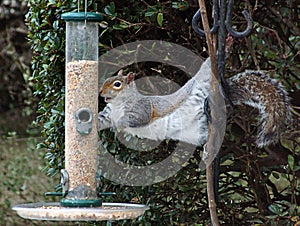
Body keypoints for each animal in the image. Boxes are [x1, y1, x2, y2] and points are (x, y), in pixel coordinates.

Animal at [98, 57, 290, 147]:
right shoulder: (108, 114)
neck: (118, 104)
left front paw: (119, 125)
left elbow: (136, 119)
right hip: (194, 132)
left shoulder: (143, 108)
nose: (100, 93)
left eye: (117, 84)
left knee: (205, 70)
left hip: (200, 85)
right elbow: (101, 120)